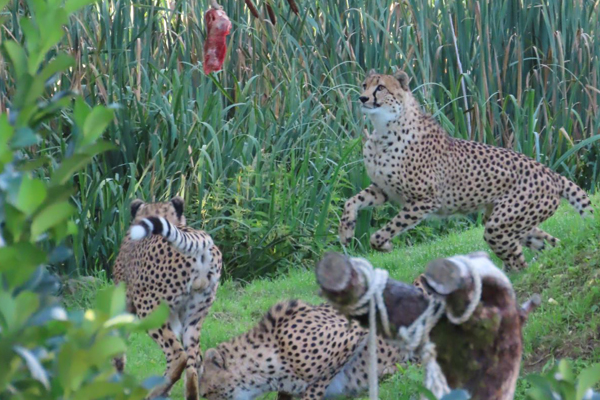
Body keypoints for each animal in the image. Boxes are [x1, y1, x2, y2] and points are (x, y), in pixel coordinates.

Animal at [111, 197, 221, 400]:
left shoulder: (124, 304)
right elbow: (198, 358)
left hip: (149, 310)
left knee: (178, 355)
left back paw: (154, 391)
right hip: (195, 315)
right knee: (192, 361)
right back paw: (186, 394)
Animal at [340, 69, 592, 270]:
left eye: (380, 87)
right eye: (364, 85)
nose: (362, 97)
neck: (383, 129)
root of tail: (551, 173)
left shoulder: (425, 200)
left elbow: (388, 229)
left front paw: (384, 244)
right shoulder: (383, 189)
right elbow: (351, 201)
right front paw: (346, 231)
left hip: (500, 225)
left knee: (518, 261)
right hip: (511, 222)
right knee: (548, 244)